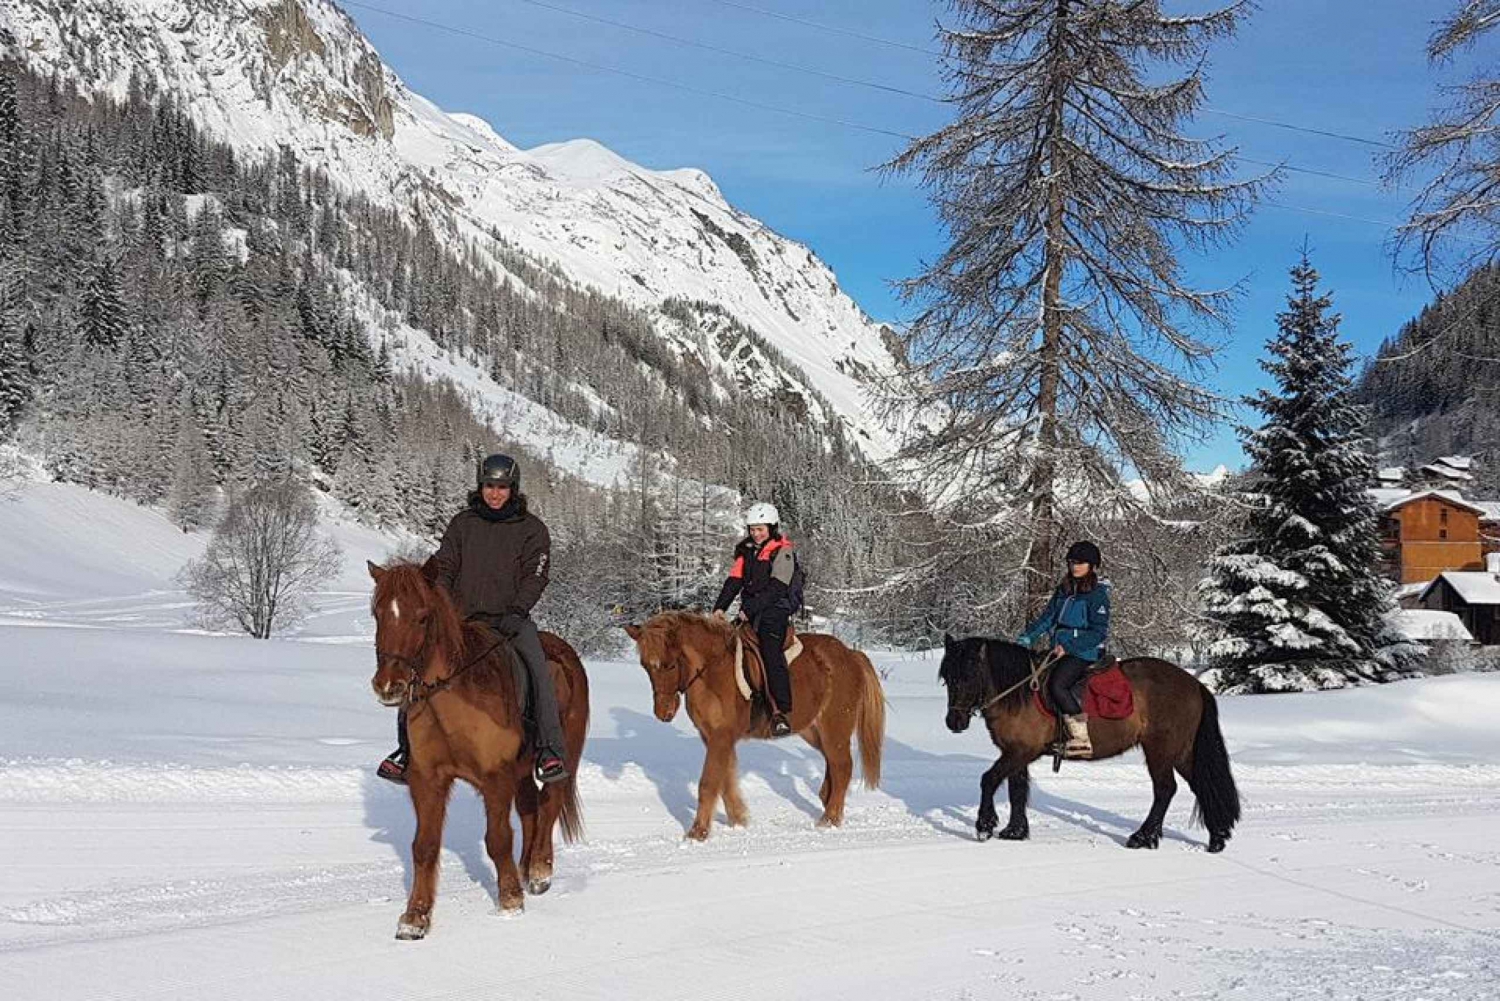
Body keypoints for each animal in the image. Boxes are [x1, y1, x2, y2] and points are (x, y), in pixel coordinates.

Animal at [367, 560, 589, 940]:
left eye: (422, 617)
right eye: (378, 613)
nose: (388, 686)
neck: (453, 696)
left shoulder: (495, 776)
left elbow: (497, 839)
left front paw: (510, 900)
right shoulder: (427, 780)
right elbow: (424, 846)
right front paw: (415, 918)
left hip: (565, 754)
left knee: (550, 802)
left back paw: (539, 871)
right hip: (521, 771)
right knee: (530, 809)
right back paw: (525, 867)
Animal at [623, 612, 885, 840]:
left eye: (669, 665)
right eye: (645, 665)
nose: (663, 713)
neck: (712, 671)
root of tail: (851, 654)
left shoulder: (721, 736)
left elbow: (709, 783)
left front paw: (698, 832)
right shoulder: (714, 737)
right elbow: (726, 781)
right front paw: (738, 820)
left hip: (834, 727)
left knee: (842, 767)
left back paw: (829, 819)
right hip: (813, 730)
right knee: (833, 763)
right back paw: (827, 800)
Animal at [938, 635, 1240, 853]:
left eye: (968, 675)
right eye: (947, 678)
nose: (954, 722)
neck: (1020, 692)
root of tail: (1194, 684)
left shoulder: (1021, 751)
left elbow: (988, 779)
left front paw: (984, 825)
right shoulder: (1015, 753)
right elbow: (1017, 790)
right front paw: (1015, 831)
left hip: (1160, 750)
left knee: (1165, 789)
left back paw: (1143, 837)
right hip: (1183, 752)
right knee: (1202, 785)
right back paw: (1217, 838)